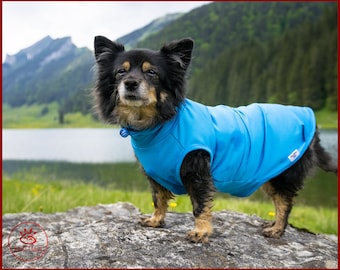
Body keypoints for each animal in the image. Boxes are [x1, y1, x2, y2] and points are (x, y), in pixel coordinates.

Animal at [93, 35, 338, 243]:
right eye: (120, 72)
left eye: (151, 73)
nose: (130, 83)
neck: (160, 124)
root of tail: (311, 121)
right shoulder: (155, 174)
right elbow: (159, 198)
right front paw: (156, 220)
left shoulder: (197, 171)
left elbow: (199, 205)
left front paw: (200, 231)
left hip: (283, 175)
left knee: (285, 203)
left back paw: (277, 229)